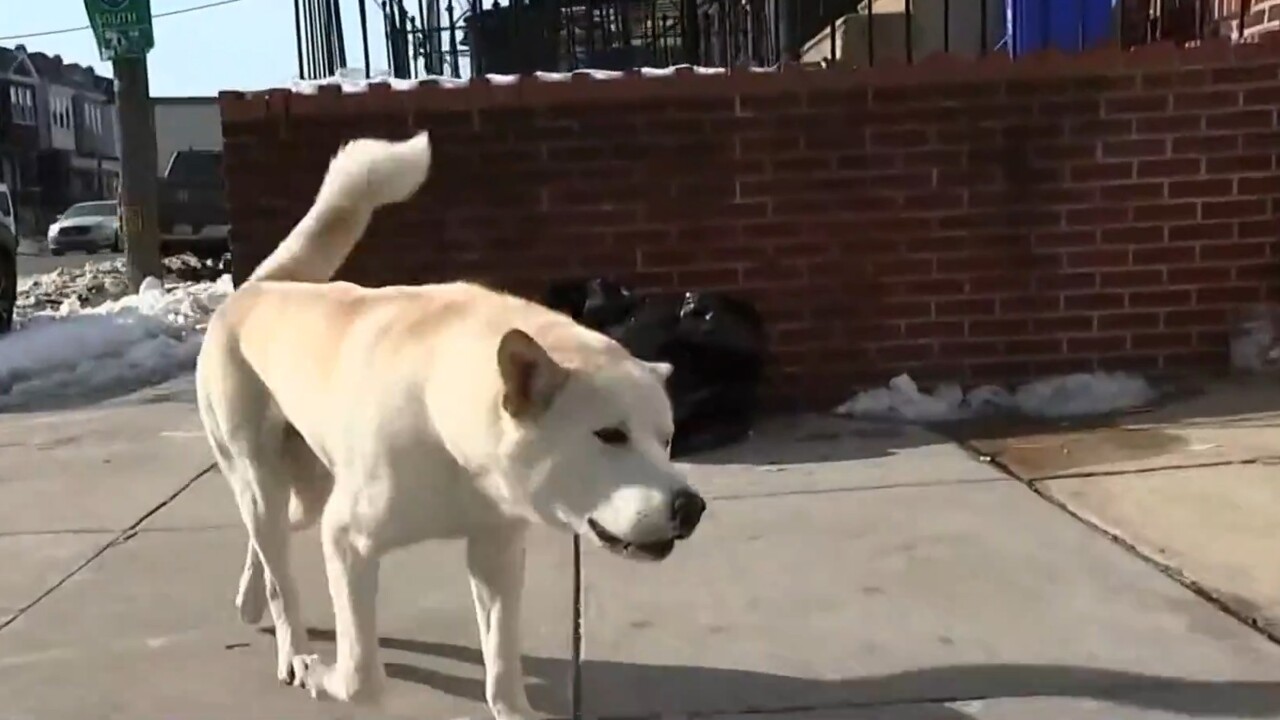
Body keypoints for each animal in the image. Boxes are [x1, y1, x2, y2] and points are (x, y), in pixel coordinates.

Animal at [194, 128, 706, 712]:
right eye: (610, 435)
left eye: (667, 439)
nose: (691, 507)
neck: (445, 424)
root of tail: (260, 287)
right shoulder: (347, 540)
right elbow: (362, 675)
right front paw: (324, 676)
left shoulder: (496, 550)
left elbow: (502, 667)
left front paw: (514, 710)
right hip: (265, 479)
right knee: (277, 562)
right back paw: (294, 652)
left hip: (306, 490)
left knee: (265, 540)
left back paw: (249, 598)